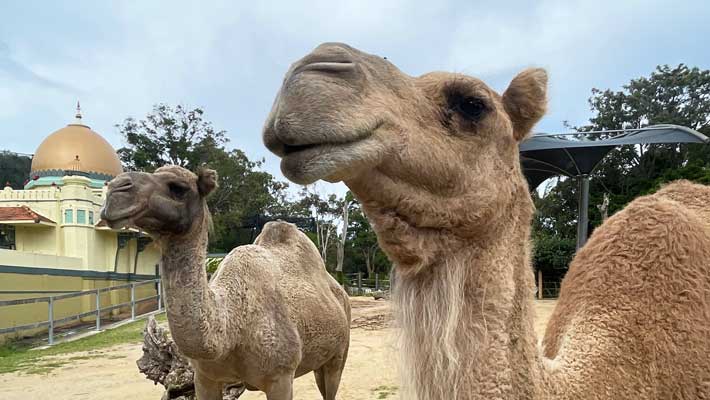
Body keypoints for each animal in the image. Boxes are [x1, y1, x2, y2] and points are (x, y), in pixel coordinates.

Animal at [101, 164, 354, 398]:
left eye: (178, 188)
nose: (115, 189)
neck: (230, 328)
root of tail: (340, 292)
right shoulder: (205, 377)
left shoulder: (280, 376)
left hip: (339, 353)